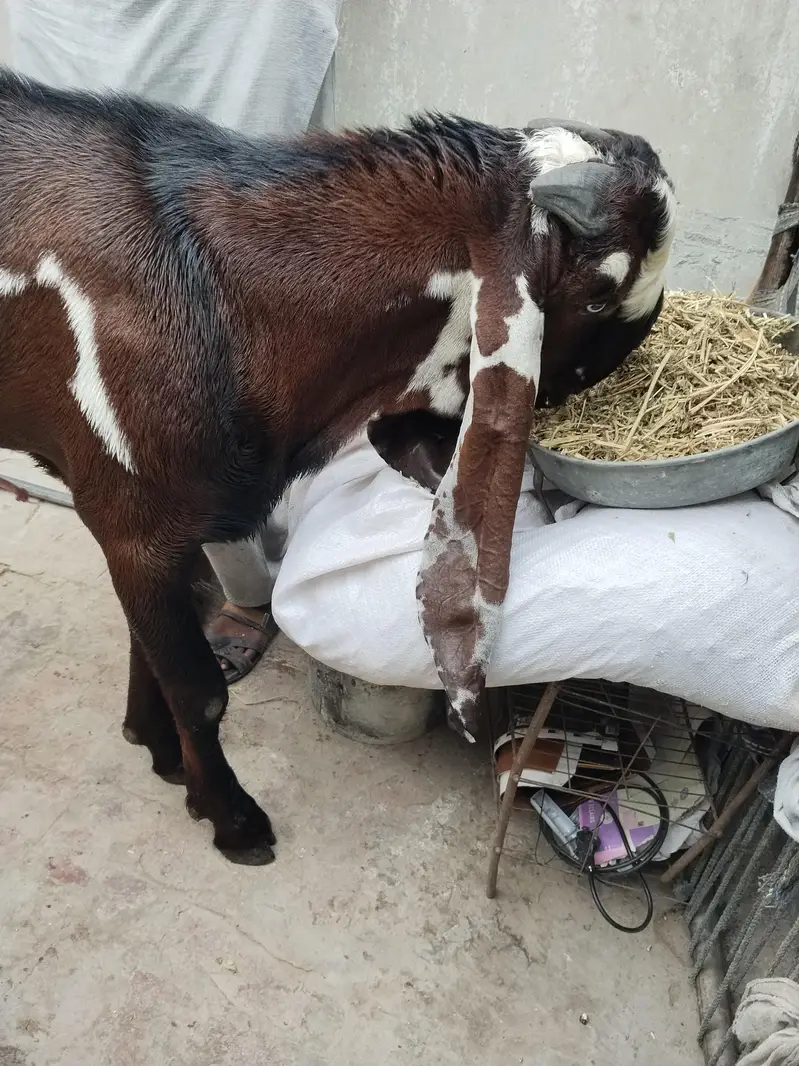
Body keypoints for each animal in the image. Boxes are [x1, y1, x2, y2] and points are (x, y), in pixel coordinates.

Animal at [0, 71, 676, 863]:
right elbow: (199, 688)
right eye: (599, 291)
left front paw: (157, 752)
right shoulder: (133, 521)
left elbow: (153, 647)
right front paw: (232, 822)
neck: (228, 293)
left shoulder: (154, 531)